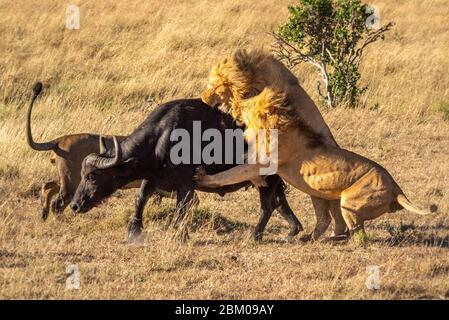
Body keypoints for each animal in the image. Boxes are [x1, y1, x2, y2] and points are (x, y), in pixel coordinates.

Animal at [70, 99, 300, 241]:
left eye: (92, 176)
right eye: (82, 175)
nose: (74, 205)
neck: (161, 138)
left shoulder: (185, 184)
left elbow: (181, 208)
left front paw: (179, 235)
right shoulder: (152, 176)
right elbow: (140, 198)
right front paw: (134, 231)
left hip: (266, 179)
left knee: (268, 206)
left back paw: (255, 235)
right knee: (280, 203)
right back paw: (293, 230)